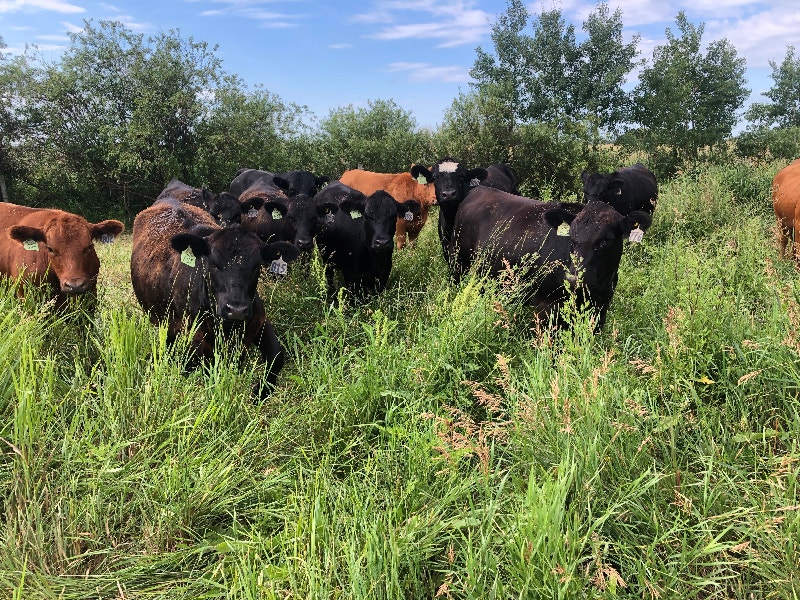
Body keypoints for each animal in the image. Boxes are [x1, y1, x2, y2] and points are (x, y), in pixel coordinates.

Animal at [130, 199, 300, 399]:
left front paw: (261, 392)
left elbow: (277, 356)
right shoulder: (197, 338)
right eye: (213, 264)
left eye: (257, 266)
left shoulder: (258, 321)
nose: (236, 309)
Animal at [450, 186, 652, 330]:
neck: (598, 288)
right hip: (457, 263)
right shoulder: (545, 305)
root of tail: (479, 190)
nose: (573, 279)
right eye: (572, 237)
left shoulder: (601, 308)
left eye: (606, 240)